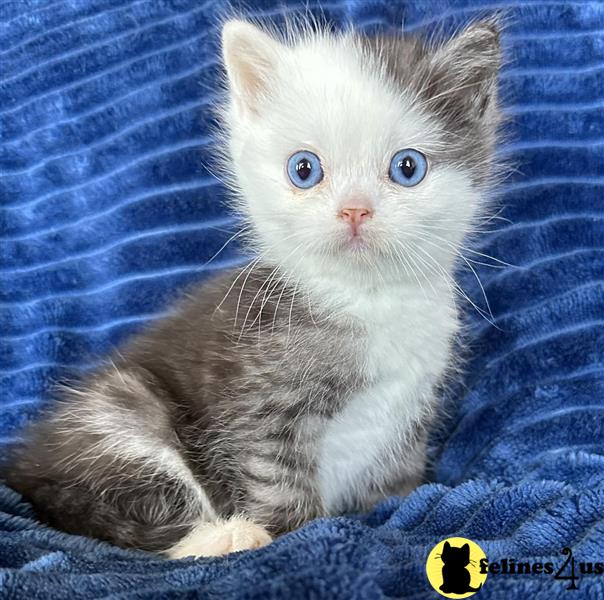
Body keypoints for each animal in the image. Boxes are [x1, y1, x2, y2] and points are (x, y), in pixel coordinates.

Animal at [7, 15, 502, 556]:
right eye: (304, 170)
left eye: (407, 167)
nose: (354, 210)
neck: (365, 299)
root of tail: (26, 471)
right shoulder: (259, 404)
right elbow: (277, 481)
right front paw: (297, 534)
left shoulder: (411, 404)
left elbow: (397, 482)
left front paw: (397, 508)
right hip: (119, 411)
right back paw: (224, 536)